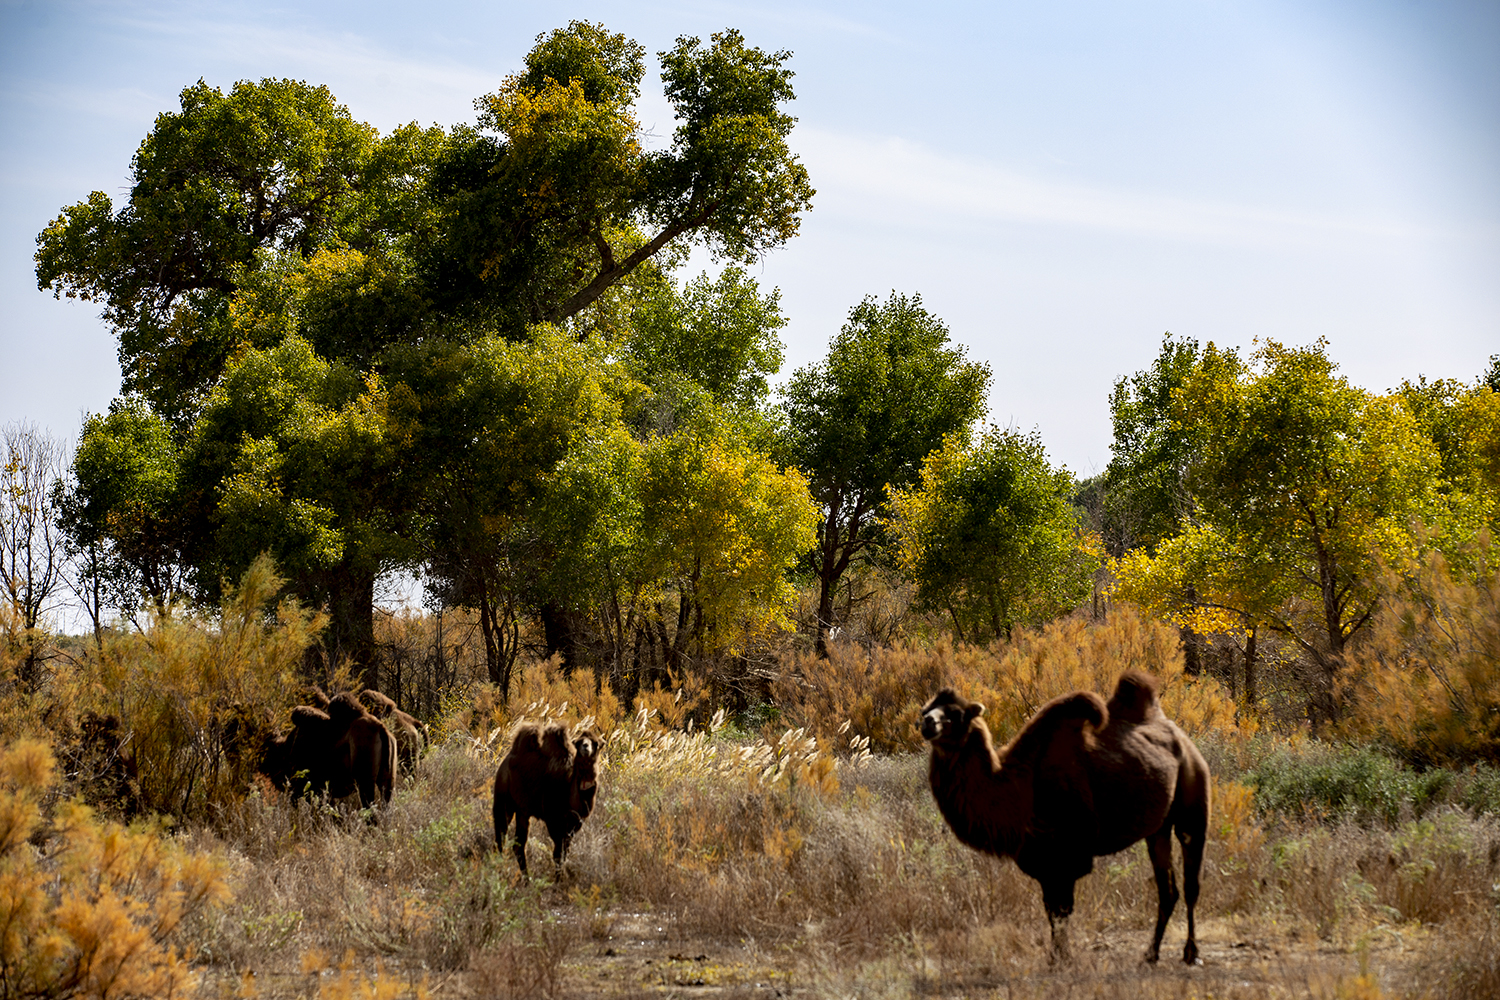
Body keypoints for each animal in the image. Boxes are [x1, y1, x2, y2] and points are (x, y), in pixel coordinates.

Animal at [492, 719, 597, 875]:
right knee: (500, 837)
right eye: (579, 742)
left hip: (522, 810)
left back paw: (526, 878)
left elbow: (564, 853)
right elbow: (558, 854)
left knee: (518, 844)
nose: (586, 747)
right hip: (504, 802)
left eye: (597, 743)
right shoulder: (552, 817)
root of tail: (507, 759)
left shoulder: (575, 822)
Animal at [918, 668, 1212, 965]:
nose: (927, 723)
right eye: (925, 709)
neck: (1019, 788)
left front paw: (1063, 958)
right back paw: (1151, 954)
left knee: (1191, 884)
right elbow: (1051, 910)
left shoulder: (1069, 854)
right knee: (1167, 889)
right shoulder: (1040, 856)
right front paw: (1056, 957)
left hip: (1193, 800)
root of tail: (1185, 741)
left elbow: (1061, 910)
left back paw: (1191, 953)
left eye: (955, 714)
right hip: (1158, 829)